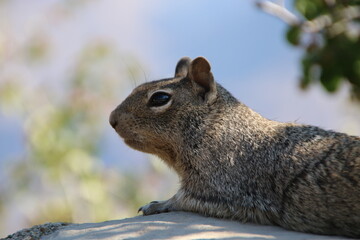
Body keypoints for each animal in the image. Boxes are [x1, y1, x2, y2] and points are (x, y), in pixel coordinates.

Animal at [109, 56, 360, 238]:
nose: (112, 119)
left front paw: (157, 204)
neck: (217, 128)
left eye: (160, 98)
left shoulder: (222, 187)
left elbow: (181, 199)